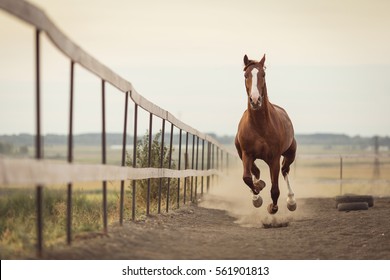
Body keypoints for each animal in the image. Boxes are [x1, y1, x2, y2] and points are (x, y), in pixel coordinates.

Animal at [235, 54, 296, 214]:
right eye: (246, 75)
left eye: (263, 74)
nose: (255, 100)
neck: (259, 127)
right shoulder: (247, 154)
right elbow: (247, 178)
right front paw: (257, 193)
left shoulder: (274, 158)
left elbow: (275, 189)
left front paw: (272, 207)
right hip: (242, 153)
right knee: (255, 171)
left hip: (290, 153)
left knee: (285, 171)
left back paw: (291, 201)